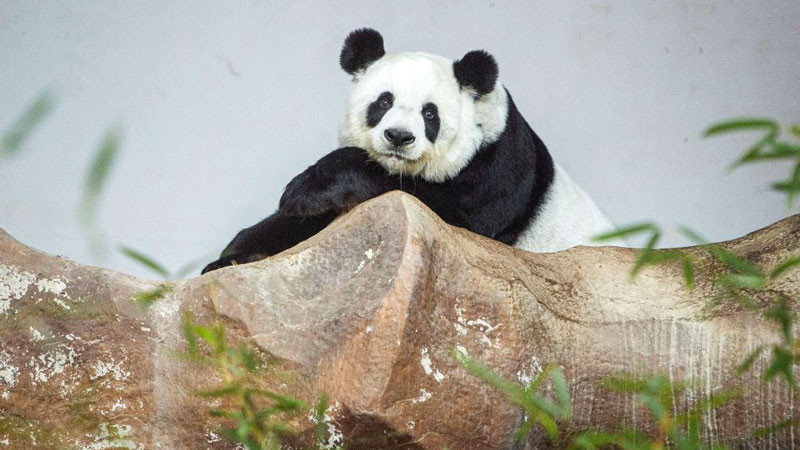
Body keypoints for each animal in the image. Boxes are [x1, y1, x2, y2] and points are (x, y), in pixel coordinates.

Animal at [202, 29, 624, 274]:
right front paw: (233, 256)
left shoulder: (496, 173)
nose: (398, 137)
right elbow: (304, 224)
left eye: (430, 113)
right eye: (383, 101)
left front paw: (306, 188)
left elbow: (445, 211)